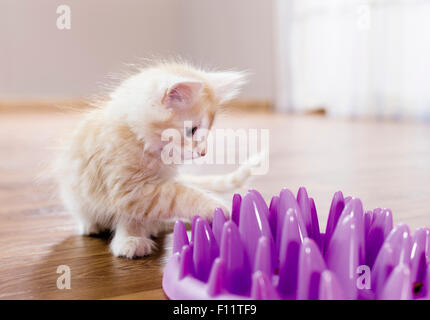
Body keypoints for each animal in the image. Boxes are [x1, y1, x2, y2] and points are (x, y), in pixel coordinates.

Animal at [55, 61, 254, 258]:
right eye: (192, 130)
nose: (203, 152)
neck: (138, 136)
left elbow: (135, 216)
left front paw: (133, 237)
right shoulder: (131, 189)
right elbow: (179, 195)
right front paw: (216, 207)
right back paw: (93, 226)